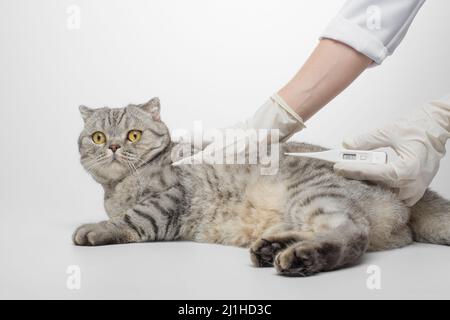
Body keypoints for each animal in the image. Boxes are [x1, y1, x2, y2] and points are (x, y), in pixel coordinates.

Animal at [74, 97, 450, 276]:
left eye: (134, 135)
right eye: (98, 137)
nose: (113, 146)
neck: (118, 187)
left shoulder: (172, 198)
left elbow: (132, 218)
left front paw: (96, 228)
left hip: (315, 195)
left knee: (354, 235)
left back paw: (301, 258)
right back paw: (273, 248)